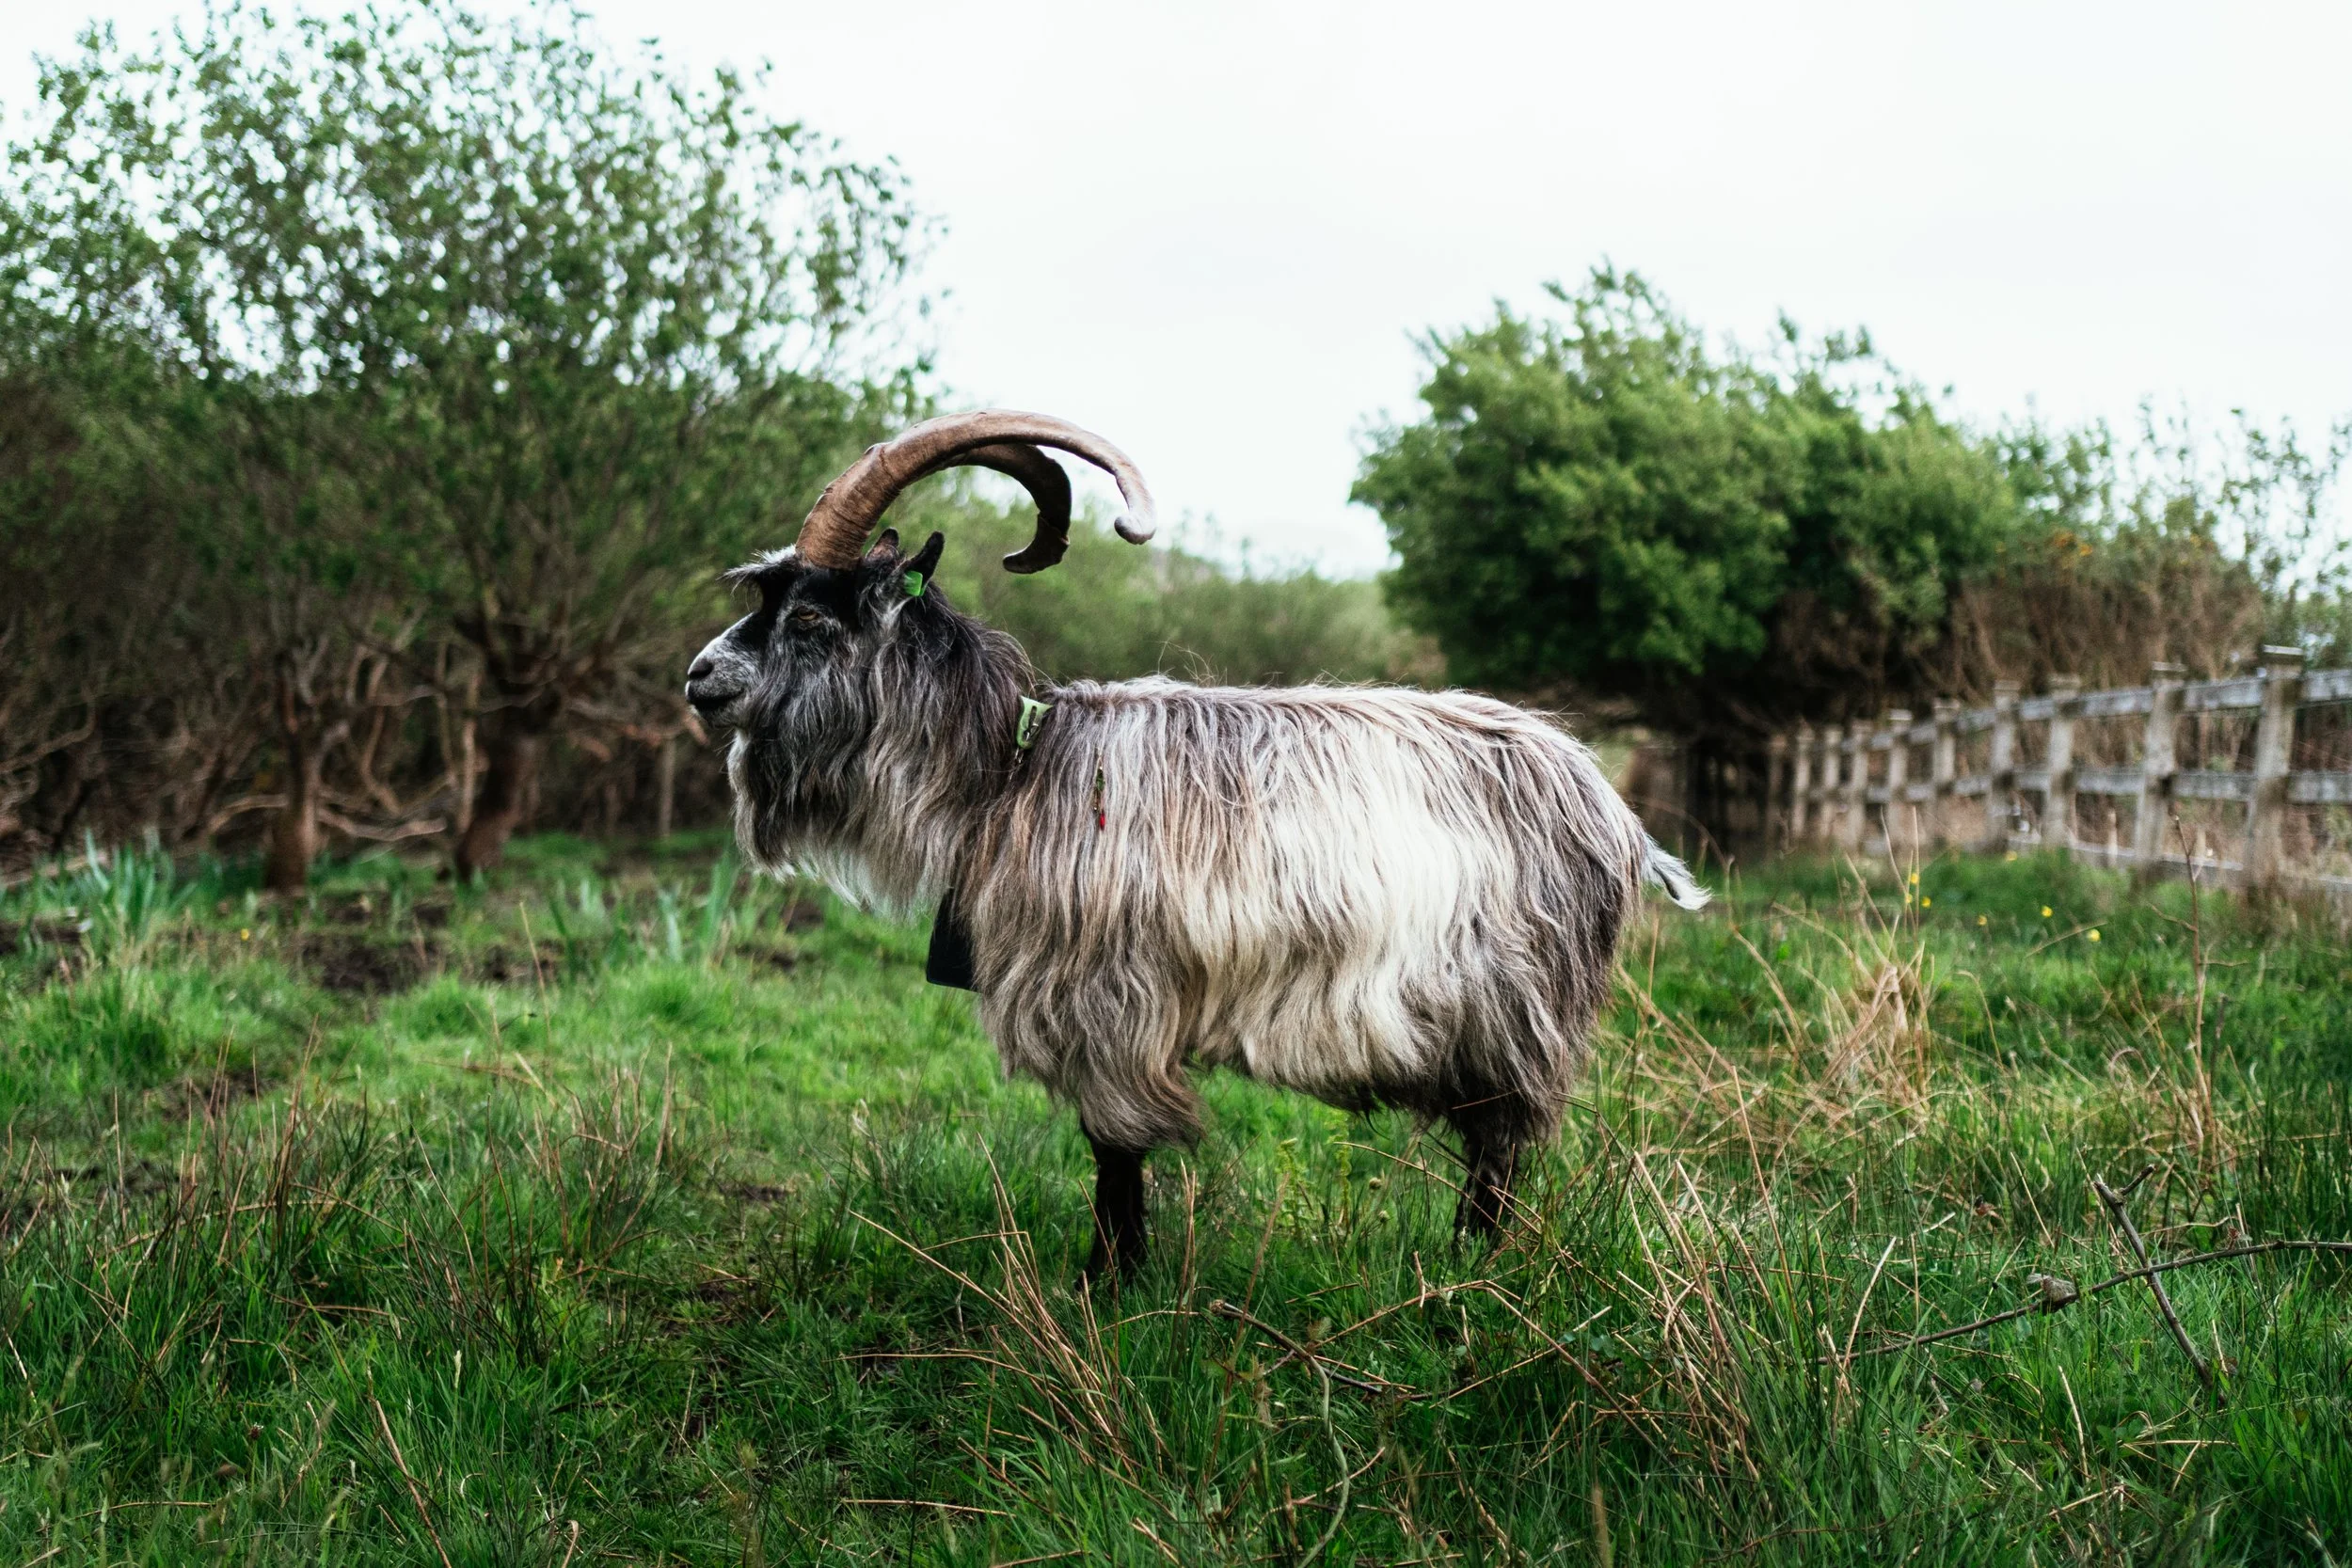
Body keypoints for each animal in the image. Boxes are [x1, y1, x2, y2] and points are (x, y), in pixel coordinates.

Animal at [686, 411, 1707, 1277]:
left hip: (1517, 1010)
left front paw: (1108, 1284)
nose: (699, 678)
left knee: (1499, 1150)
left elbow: (1114, 1153)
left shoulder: (1112, 1004)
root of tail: (1610, 808)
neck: (1012, 766)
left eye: (811, 615)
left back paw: (1470, 1269)